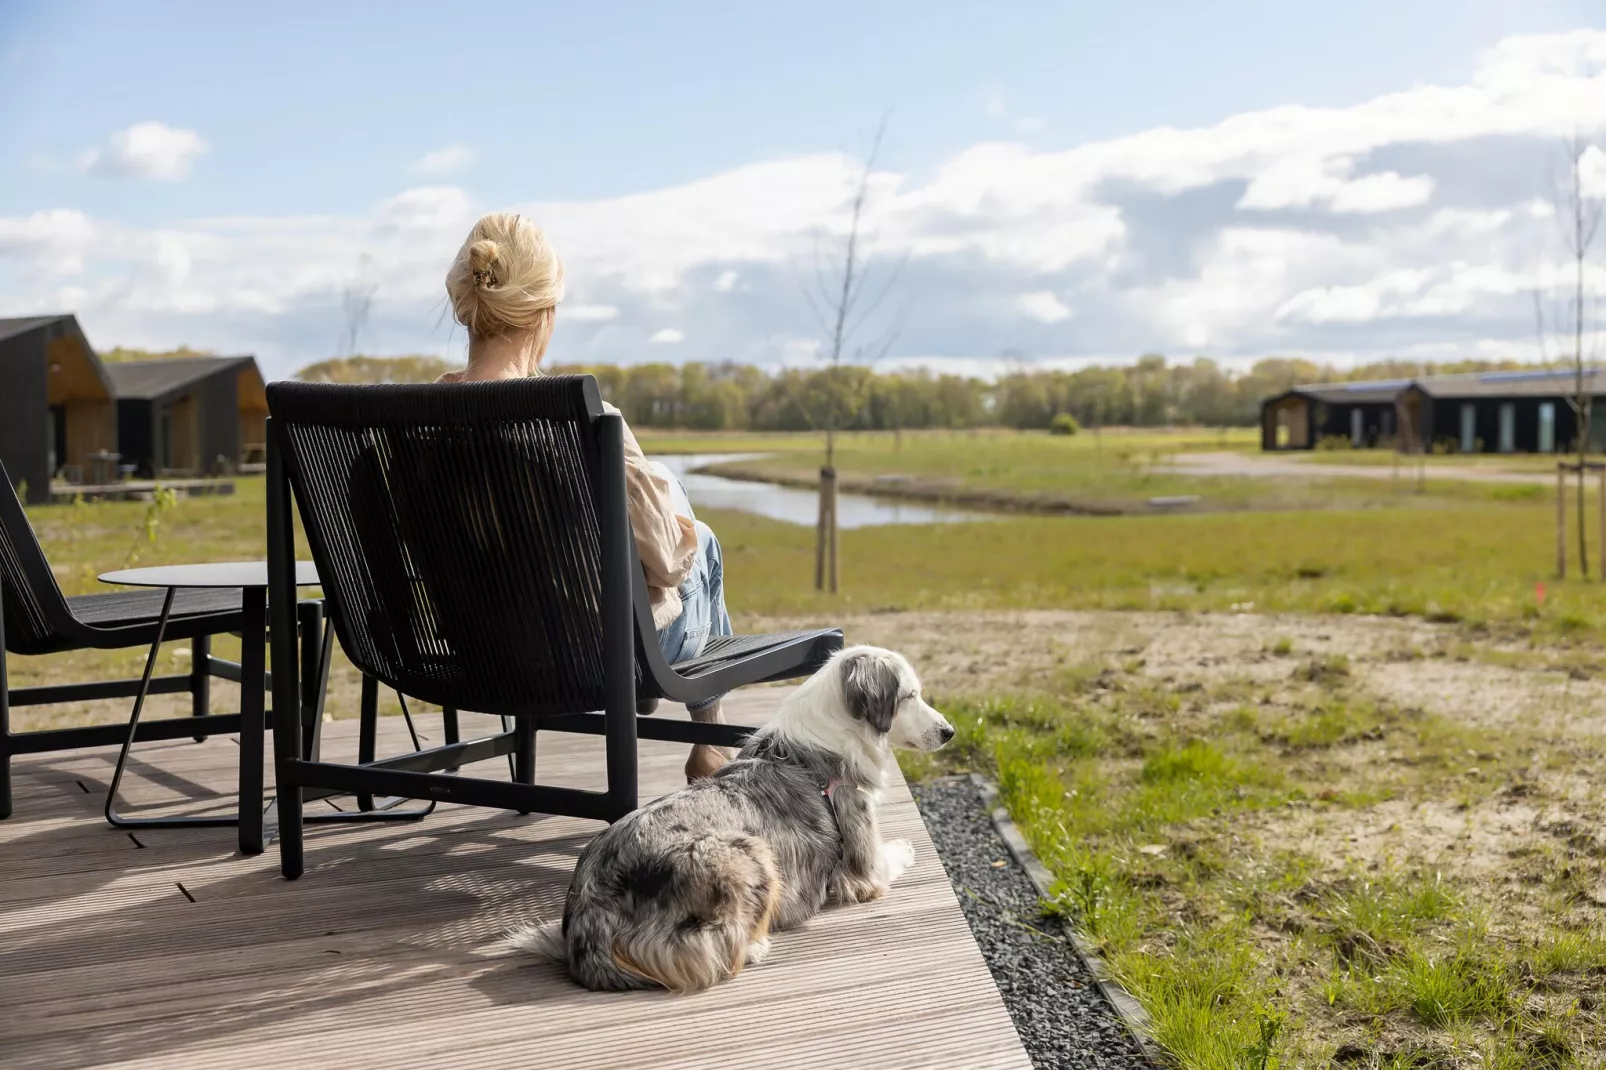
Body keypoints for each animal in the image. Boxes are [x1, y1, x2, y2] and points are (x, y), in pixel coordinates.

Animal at [517, 642, 950, 983]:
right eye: (909, 696)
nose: (949, 732)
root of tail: (588, 912)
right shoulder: (864, 866)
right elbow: (892, 855)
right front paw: (906, 847)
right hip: (747, 852)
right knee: (709, 950)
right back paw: (754, 946)